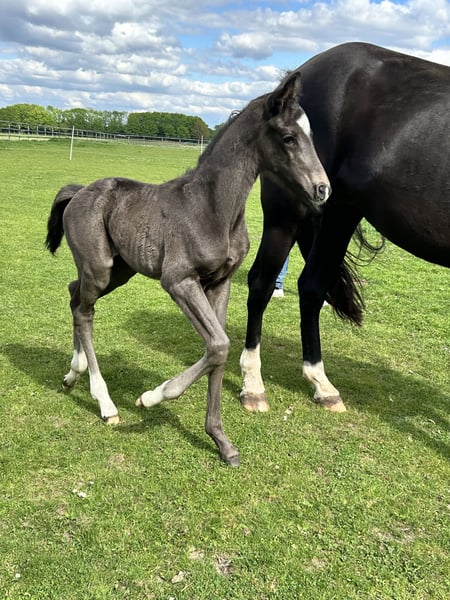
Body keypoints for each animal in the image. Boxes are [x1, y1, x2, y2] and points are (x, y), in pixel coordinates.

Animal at [45, 71, 331, 466]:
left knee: (74, 295)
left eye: (311, 135)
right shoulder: (179, 281)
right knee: (84, 311)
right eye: (289, 137)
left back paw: (74, 373)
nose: (323, 189)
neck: (213, 208)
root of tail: (80, 191)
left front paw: (221, 441)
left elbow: (218, 350)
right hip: (100, 268)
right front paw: (152, 397)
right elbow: (219, 346)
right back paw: (105, 402)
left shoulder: (220, 283)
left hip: (119, 272)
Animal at [240, 42, 450, 414]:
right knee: (262, 283)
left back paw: (321, 385)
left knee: (311, 286)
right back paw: (253, 384)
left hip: (339, 213)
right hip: (286, 215)